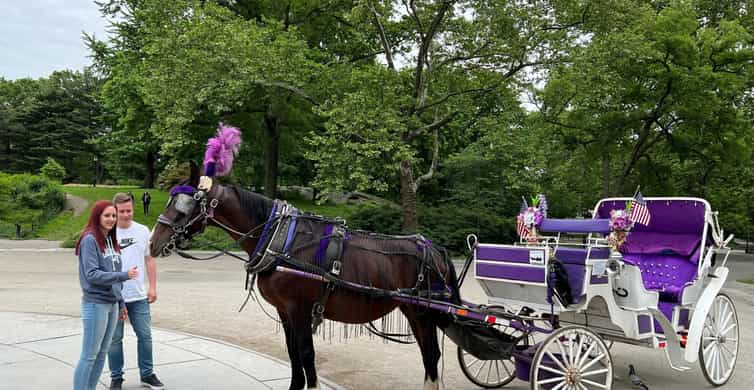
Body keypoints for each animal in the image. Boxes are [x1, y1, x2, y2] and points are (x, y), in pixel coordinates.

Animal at [148, 162, 462, 390]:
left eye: (183, 206)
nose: (153, 242)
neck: (280, 241)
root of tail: (433, 248)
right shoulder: (285, 311)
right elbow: (293, 355)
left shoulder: (300, 308)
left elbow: (306, 354)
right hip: (414, 312)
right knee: (429, 356)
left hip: (422, 312)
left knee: (431, 355)